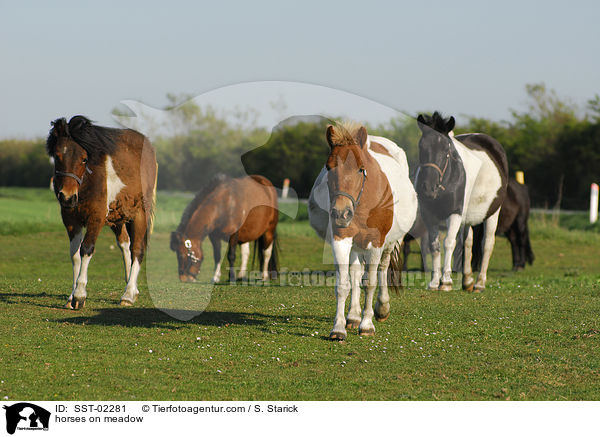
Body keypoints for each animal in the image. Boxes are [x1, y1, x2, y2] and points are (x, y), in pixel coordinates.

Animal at [46, 114, 157, 308]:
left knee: (137, 249)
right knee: (125, 245)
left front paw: (80, 295)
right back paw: (132, 287)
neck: (86, 183)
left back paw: (128, 294)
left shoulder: (96, 217)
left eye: (84, 159)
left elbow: (86, 248)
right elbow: (75, 254)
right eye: (57, 156)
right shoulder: (70, 219)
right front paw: (71, 297)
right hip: (118, 216)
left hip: (139, 213)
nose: (67, 197)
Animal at [310, 122, 418, 340]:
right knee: (355, 272)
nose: (341, 213)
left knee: (383, 269)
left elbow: (371, 282)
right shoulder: (341, 239)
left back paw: (382, 309)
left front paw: (367, 325)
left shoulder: (376, 242)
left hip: (390, 243)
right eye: (328, 167)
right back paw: (352, 316)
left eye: (361, 169)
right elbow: (344, 284)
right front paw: (339, 327)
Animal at [414, 110, 508, 292]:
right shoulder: (429, 215)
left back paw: (479, 283)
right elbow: (434, 246)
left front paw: (446, 282)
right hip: (468, 217)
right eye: (421, 146)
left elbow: (449, 243)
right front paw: (434, 282)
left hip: (493, 213)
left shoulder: (454, 213)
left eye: (446, 149)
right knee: (467, 243)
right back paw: (467, 280)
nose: (428, 188)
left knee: (487, 244)